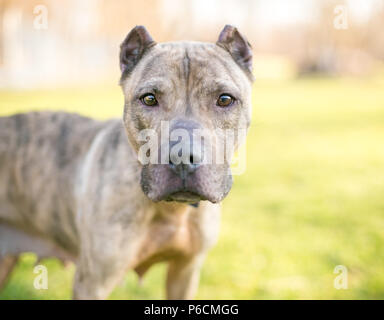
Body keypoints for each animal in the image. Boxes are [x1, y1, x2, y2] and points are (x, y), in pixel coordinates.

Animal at [0, 25, 255, 300]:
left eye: (225, 99)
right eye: (149, 99)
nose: (182, 157)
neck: (171, 211)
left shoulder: (185, 272)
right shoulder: (92, 283)